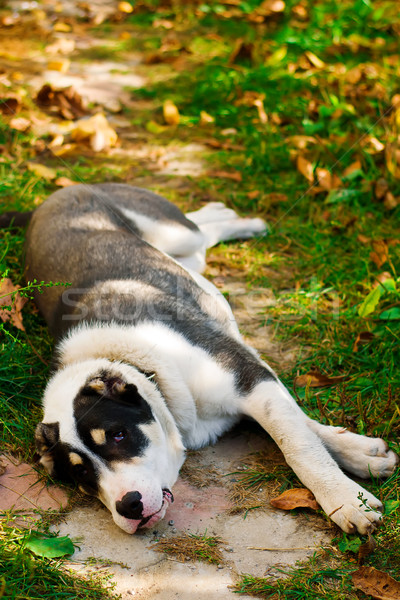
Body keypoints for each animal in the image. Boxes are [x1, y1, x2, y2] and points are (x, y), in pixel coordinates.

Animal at [7, 183, 396, 536]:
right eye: (81, 472)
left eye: (119, 435)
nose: (129, 506)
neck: (150, 369)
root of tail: (51, 198)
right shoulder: (254, 383)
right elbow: (303, 428)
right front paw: (363, 456)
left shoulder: (248, 376)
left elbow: (299, 445)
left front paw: (346, 500)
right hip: (188, 257)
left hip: (175, 234)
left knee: (201, 229)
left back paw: (243, 219)